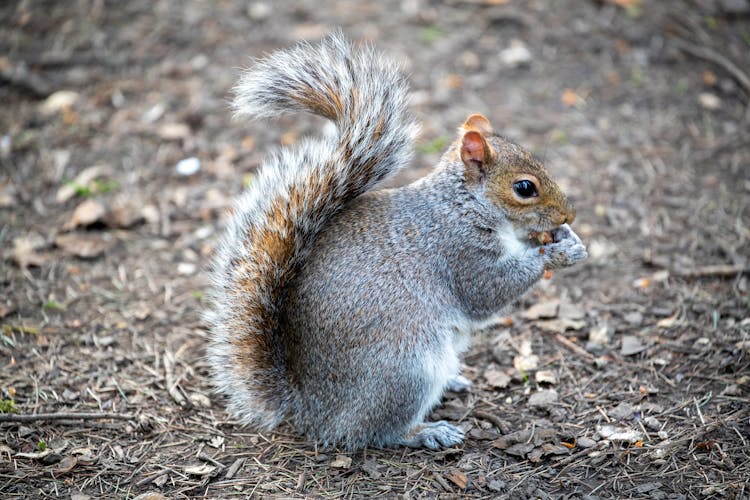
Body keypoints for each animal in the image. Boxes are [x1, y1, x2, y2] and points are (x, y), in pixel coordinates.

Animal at [206, 33, 588, 452]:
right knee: (378, 432)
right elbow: (487, 291)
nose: (568, 215)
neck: (462, 203)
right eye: (524, 188)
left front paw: (569, 239)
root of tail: (311, 410)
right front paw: (557, 252)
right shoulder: (456, 250)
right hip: (407, 369)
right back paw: (426, 431)